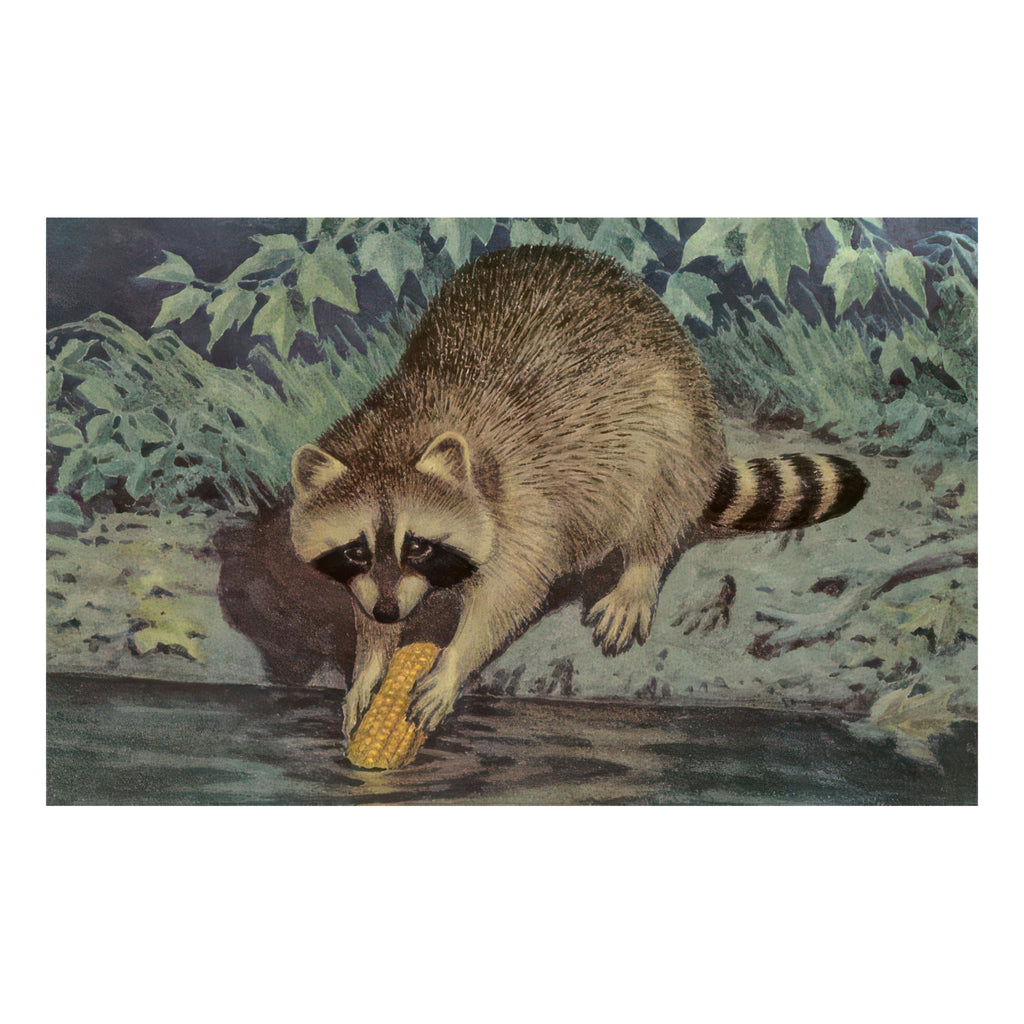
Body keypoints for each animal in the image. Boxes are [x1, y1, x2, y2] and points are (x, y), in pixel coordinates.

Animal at [289, 244, 867, 735]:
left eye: (418, 545)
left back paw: (640, 566)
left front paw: (453, 661)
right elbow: (367, 604)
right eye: (356, 550)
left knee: (660, 495)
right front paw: (371, 659)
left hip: (673, 418)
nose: (389, 612)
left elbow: (510, 591)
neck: (400, 428)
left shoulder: (520, 502)